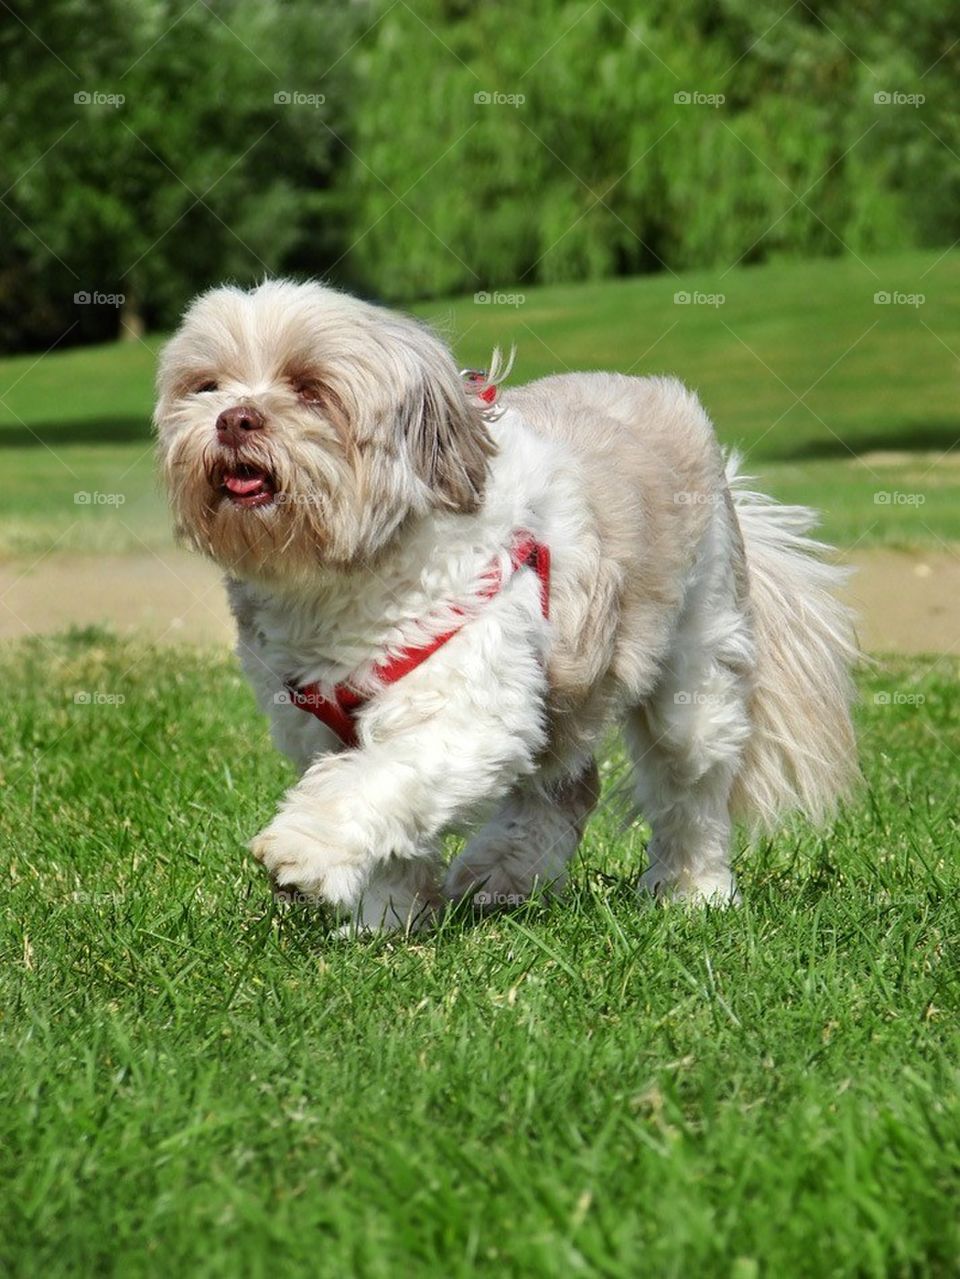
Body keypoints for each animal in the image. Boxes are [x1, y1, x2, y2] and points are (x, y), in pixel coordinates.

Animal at [154, 280, 859, 936]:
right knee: (563, 785)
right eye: (206, 385)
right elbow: (385, 817)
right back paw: (501, 875)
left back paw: (693, 893)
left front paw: (305, 847)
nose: (234, 417)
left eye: (309, 388)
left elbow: (379, 778)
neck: (341, 578)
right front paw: (387, 918)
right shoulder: (315, 722)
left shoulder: (468, 704)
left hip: (695, 675)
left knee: (691, 793)